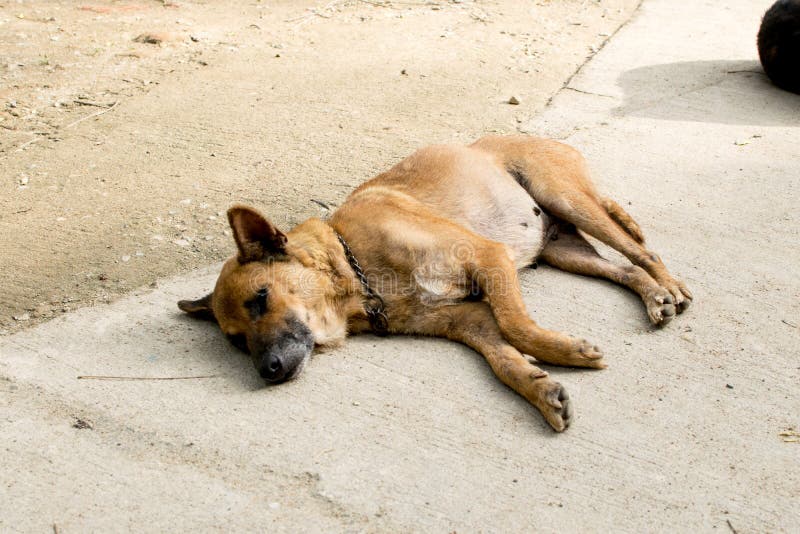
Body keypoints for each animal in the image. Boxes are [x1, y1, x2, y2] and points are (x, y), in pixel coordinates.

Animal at [178, 136, 692, 434]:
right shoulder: (469, 320)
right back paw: (654, 296)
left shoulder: (489, 259)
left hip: (565, 197)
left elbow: (517, 327)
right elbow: (502, 357)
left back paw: (670, 286)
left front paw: (562, 352)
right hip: (562, 250)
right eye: (236, 341)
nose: (267, 370)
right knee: (625, 269)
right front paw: (539, 387)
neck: (355, 268)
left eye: (261, 298)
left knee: (642, 252)